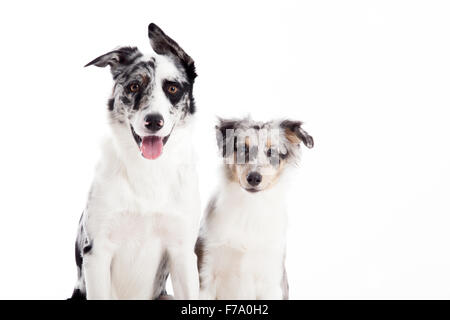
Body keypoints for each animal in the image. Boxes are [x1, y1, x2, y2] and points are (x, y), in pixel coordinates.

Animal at [71, 23, 200, 300]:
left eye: (172, 88)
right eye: (133, 87)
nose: (154, 121)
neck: (148, 172)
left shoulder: (183, 252)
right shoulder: (97, 252)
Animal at [195, 117, 314, 300]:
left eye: (272, 152)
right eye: (243, 149)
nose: (254, 178)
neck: (249, 208)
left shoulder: (272, 282)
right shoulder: (206, 274)